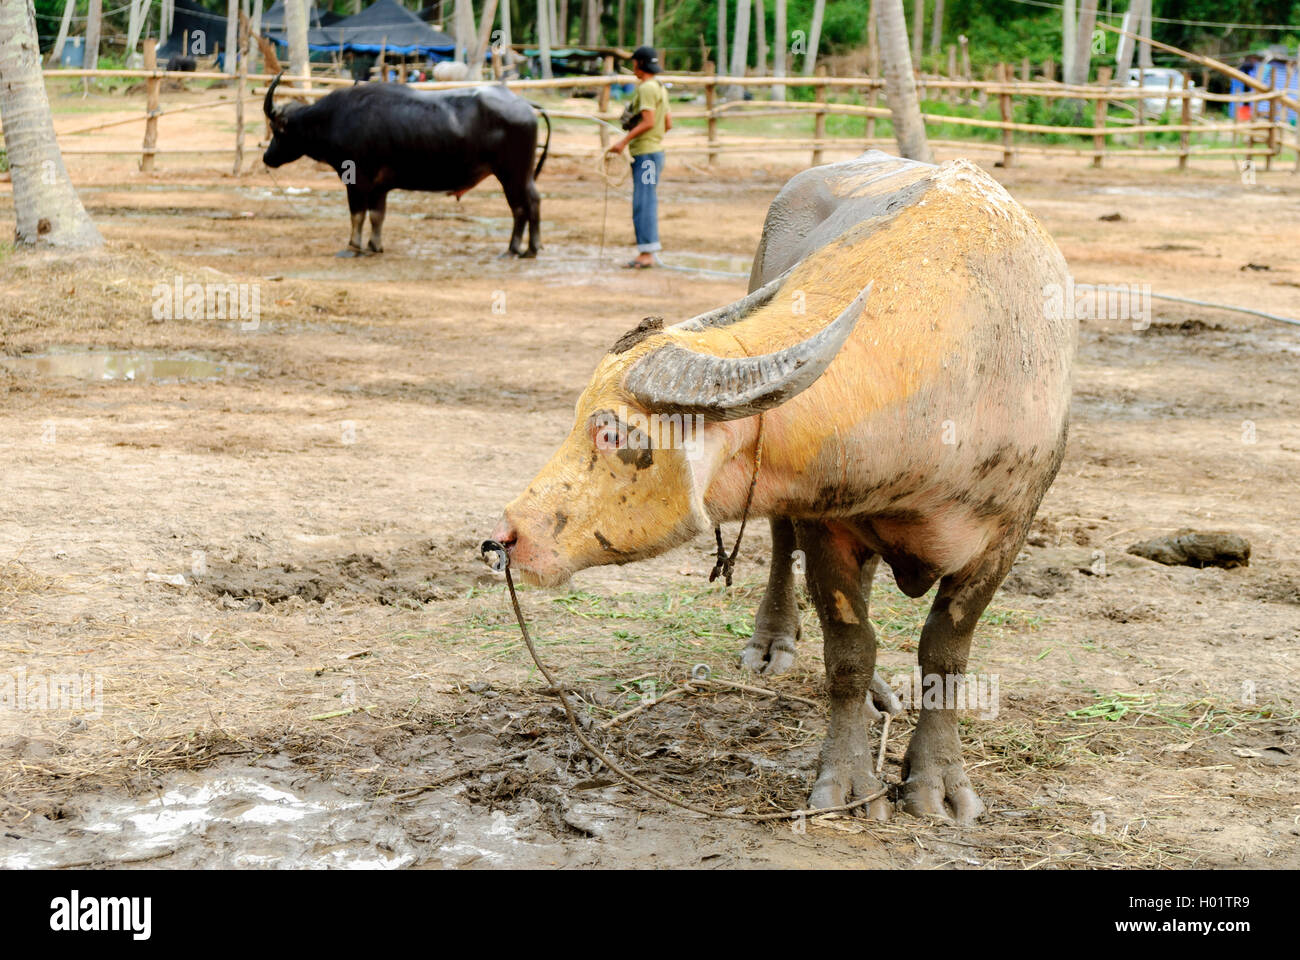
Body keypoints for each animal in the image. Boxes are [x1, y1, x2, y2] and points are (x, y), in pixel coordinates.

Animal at [262, 75, 550, 258]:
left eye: (277, 131)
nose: (267, 157)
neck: (334, 118)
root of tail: (524, 105)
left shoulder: (357, 180)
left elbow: (357, 215)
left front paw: (353, 247)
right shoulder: (379, 187)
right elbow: (377, 216)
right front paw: (374, 246)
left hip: (513, 174)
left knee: (526, 205)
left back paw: (522, 249)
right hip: (517, 175)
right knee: (526, 205)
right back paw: (523, 248)